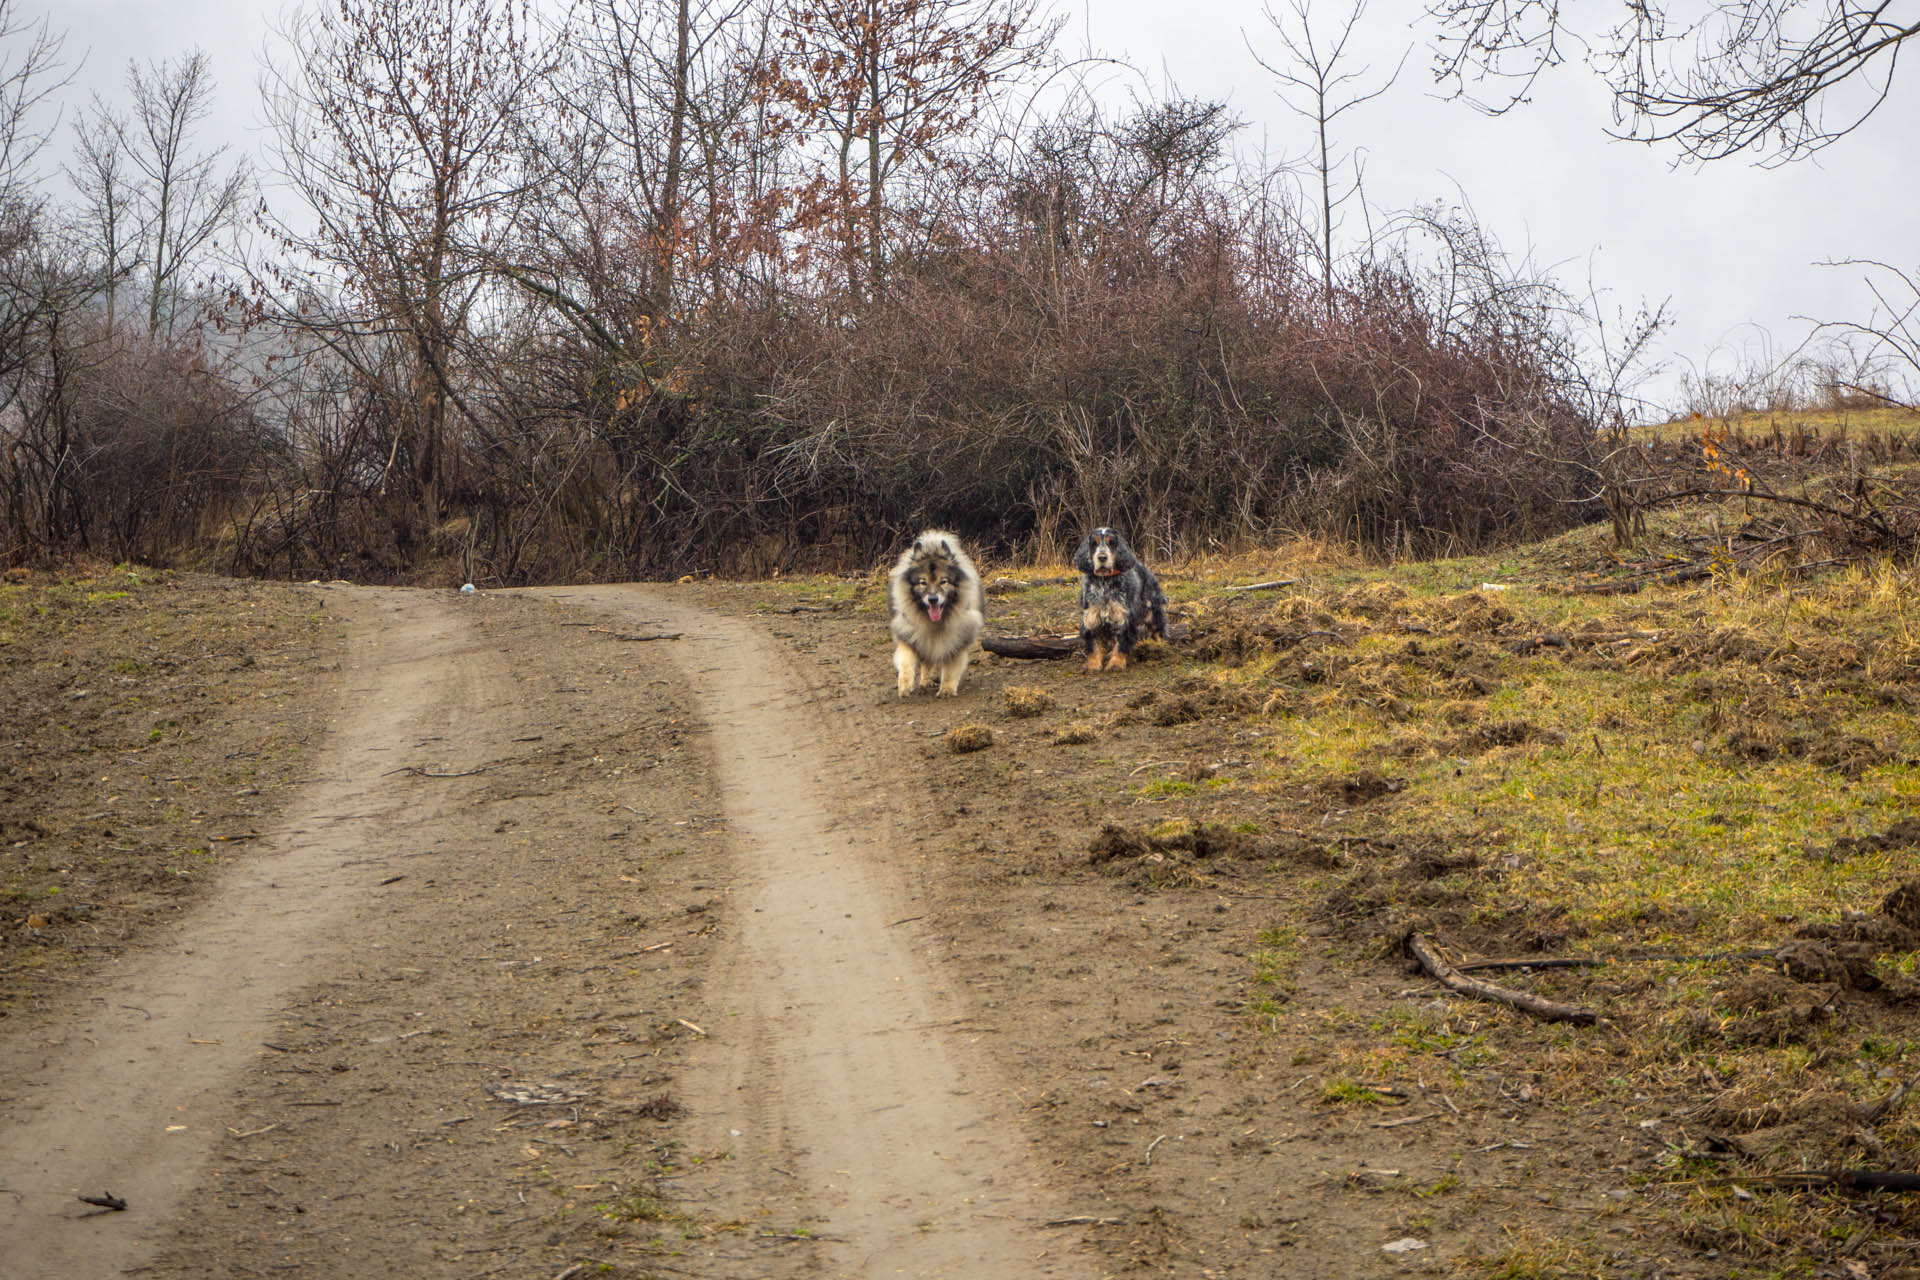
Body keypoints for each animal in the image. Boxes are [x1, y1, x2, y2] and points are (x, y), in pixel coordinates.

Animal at [879, 525, 975, 694]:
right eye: (922, 582)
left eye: (943, 581)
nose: (933, 599)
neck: (933, 623)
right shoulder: (909, 634)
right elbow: (906, 661)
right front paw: (905, 685)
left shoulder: (957, 639)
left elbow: (950, 668)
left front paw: (946, 690)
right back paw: (925, 681)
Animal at [1067, 525, 1167, 675]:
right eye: (1094, 543)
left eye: (1111, 542)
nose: (1102, 557)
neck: (1105, 582)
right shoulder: (1091, 617)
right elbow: (1093, 645)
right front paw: (1092, 665)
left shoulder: (1123, 617)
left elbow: (1121, 643)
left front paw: (1115, 664)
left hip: (1152, 610)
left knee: (1159, 630)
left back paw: (1161, 648)